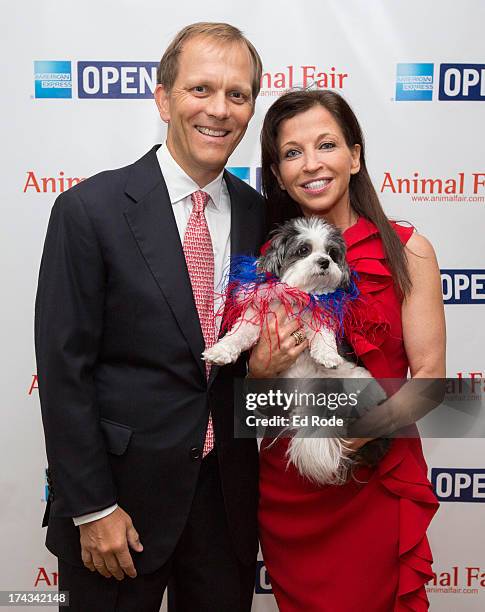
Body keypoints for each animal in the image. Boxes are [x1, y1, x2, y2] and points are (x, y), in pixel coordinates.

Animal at [202, 218, 384, 486]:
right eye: (303, 250)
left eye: (332, 253)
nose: (324, 262)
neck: (297, 295)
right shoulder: (255, 319)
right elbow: (238, 335)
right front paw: (220, 350)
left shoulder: (320, 314)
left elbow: (323, 333)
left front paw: (328, 355)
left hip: (359, 380)